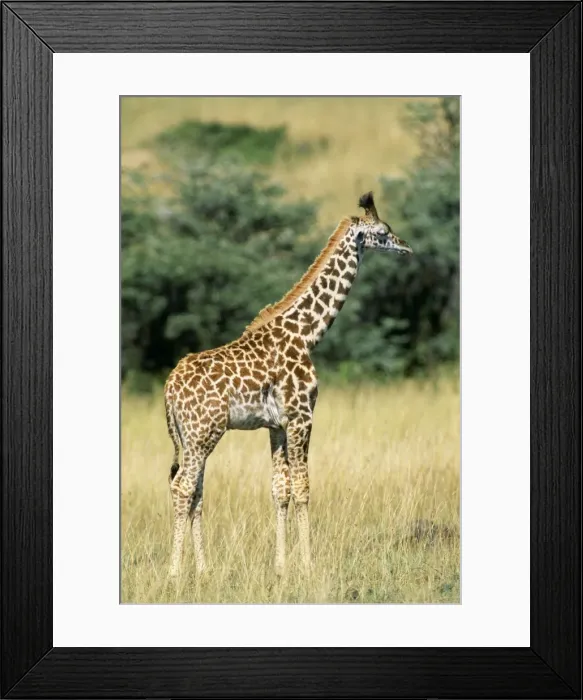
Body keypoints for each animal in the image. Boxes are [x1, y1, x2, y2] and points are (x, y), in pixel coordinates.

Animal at [164, 192, 412, 578]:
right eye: (383, 232)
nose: (406, 246)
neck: (307, 334)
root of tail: (169, 389)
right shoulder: (302, 416)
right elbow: (303, 486)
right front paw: (308, 565)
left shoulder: (277, 425)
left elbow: (279, 489)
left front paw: (281, 566)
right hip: (203, 433)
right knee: (183, 487)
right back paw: (175, 572)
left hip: (189, 438)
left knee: (196, 492)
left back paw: (203, 569)